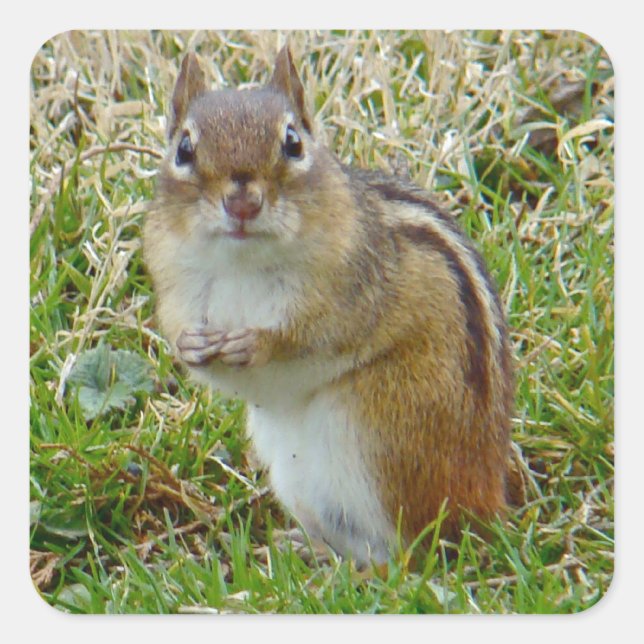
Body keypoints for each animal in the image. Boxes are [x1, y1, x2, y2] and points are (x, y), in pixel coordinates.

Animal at [143, 46, 514, 567]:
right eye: (184, 149)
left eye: (293, 143)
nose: (242, 202)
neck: (242, 264)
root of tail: (485, 501)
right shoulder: (177, 286)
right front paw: (191, 345)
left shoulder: (353, 289)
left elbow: (314, 336)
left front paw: (258, 344)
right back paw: (310, 550)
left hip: (382, 432)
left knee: (408, 559)